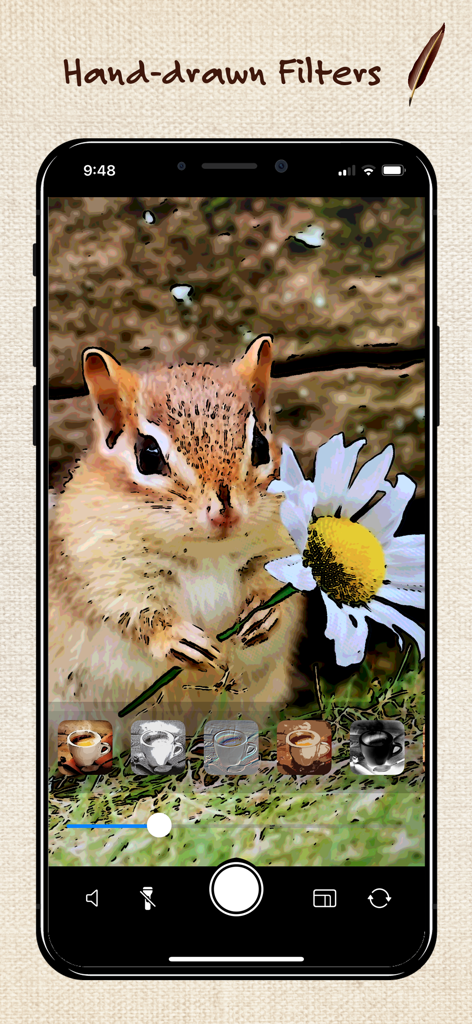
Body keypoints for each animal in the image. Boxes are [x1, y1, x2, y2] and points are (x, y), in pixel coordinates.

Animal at [49, 335, 307, 735]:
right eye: (148, 456)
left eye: (262, 447)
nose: (225, 511)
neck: (207, 552)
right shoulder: (107, 569)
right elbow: (136, 612)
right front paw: (181, 642)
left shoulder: (278, 545)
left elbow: (278, 585)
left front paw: (263, 614)